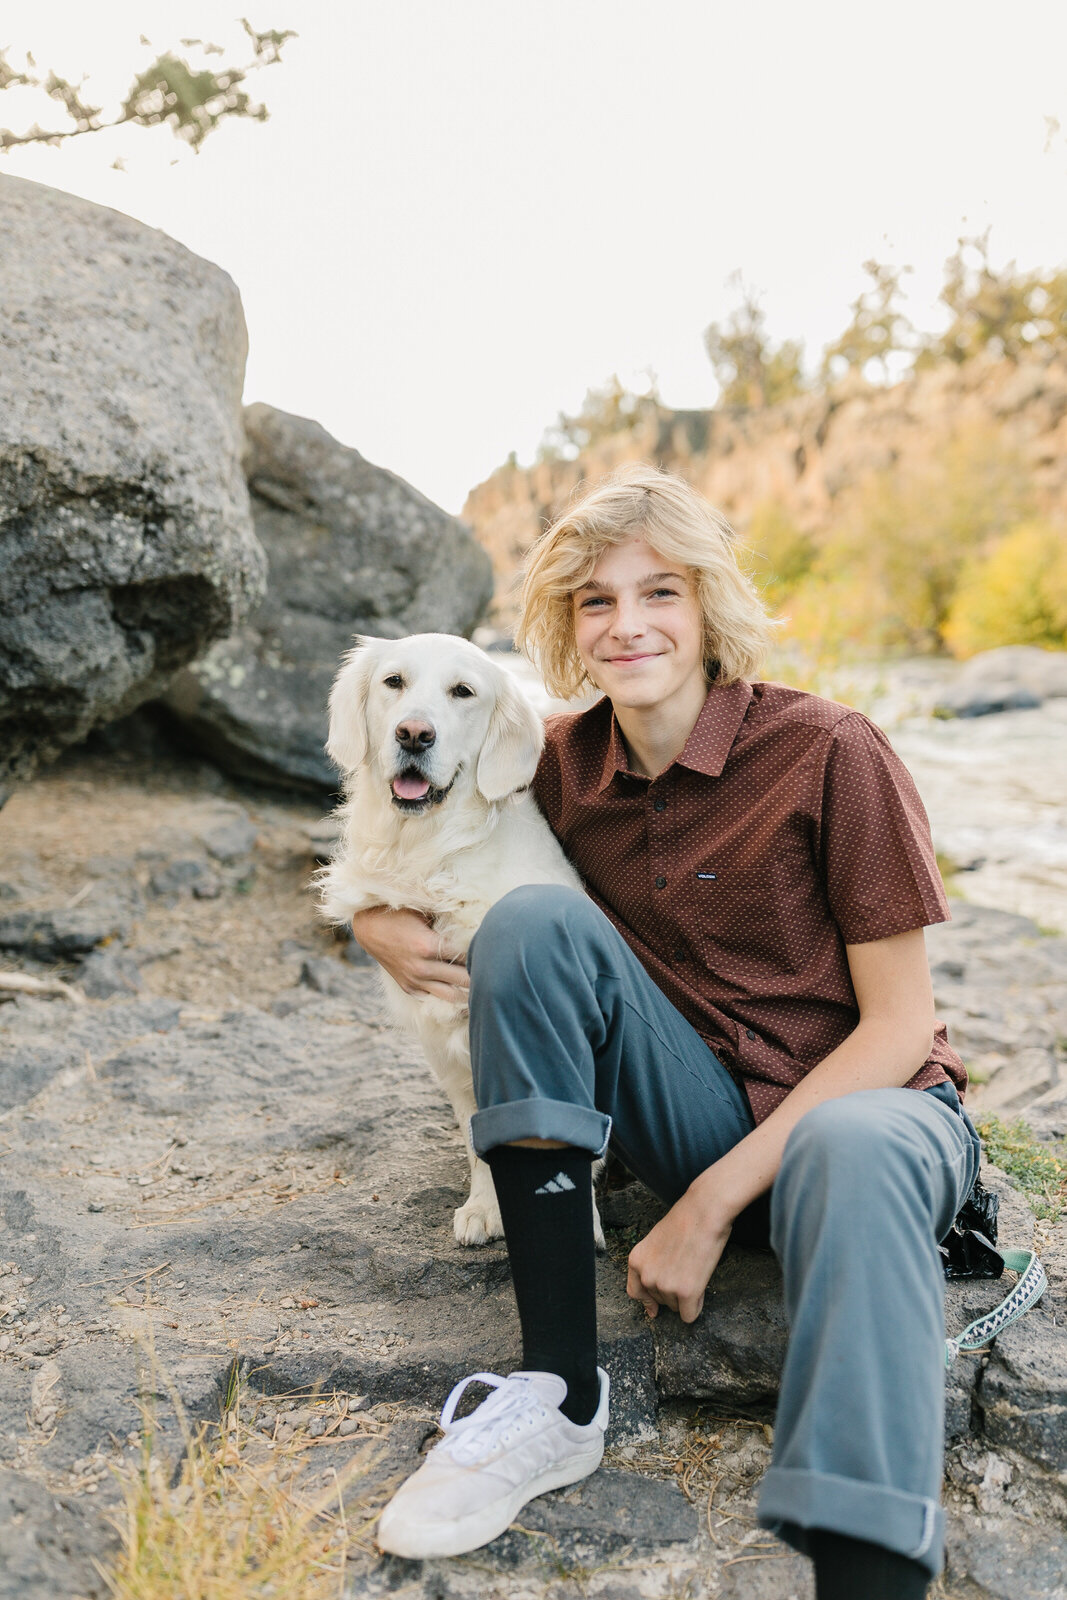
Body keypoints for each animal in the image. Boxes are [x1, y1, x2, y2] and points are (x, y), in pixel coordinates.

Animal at [319, 627, 601, 1248]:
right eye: (393, 682)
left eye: (463, 692)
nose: (413, 734)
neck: (433, 854)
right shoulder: (446, 1047)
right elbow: (480, 1137)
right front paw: (486, 1207)